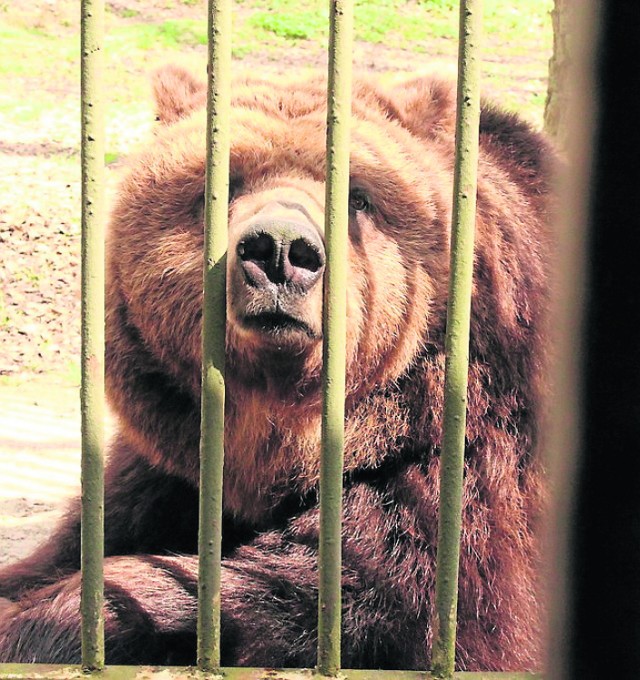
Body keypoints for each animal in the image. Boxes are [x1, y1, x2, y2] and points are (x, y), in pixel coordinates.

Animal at [0, 66, 556, 672]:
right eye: (222, 184)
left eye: (358, 196)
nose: (281, 250)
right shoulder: (169, 468)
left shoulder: (459, 468)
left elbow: (356, 596)